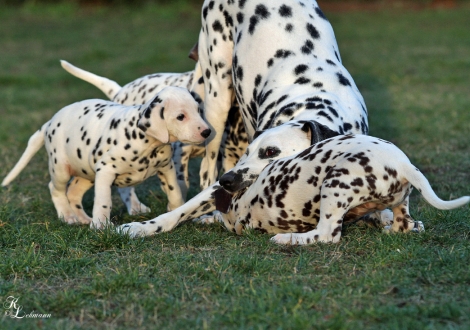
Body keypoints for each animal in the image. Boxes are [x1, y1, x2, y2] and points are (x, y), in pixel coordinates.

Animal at [1, 86, 211, 228]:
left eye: (198, 110)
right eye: (181, 116)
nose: (207, 132)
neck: (144, 141)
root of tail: (50, 122)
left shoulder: (166, 168)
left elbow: (174, 192)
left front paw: (177, 209)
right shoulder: (106, 171)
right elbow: (103, 201)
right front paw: (101, 226)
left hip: (86, 173)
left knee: (73, 192)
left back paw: (83, 218)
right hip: (60, 168)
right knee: (56, 189)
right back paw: (67, 216)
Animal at [60, 58, 248, 215]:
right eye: (181, 116)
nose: (206, 131)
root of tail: (120, 91)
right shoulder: (179, 157)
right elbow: (181, 185)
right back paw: (134, 206)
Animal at [117, 0, 374, 237]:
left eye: (271, 152)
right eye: (250, 152)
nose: (227, 180)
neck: (314, 101)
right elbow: (178, 212)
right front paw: (142, 227)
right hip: (216, 102)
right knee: (207, 169)